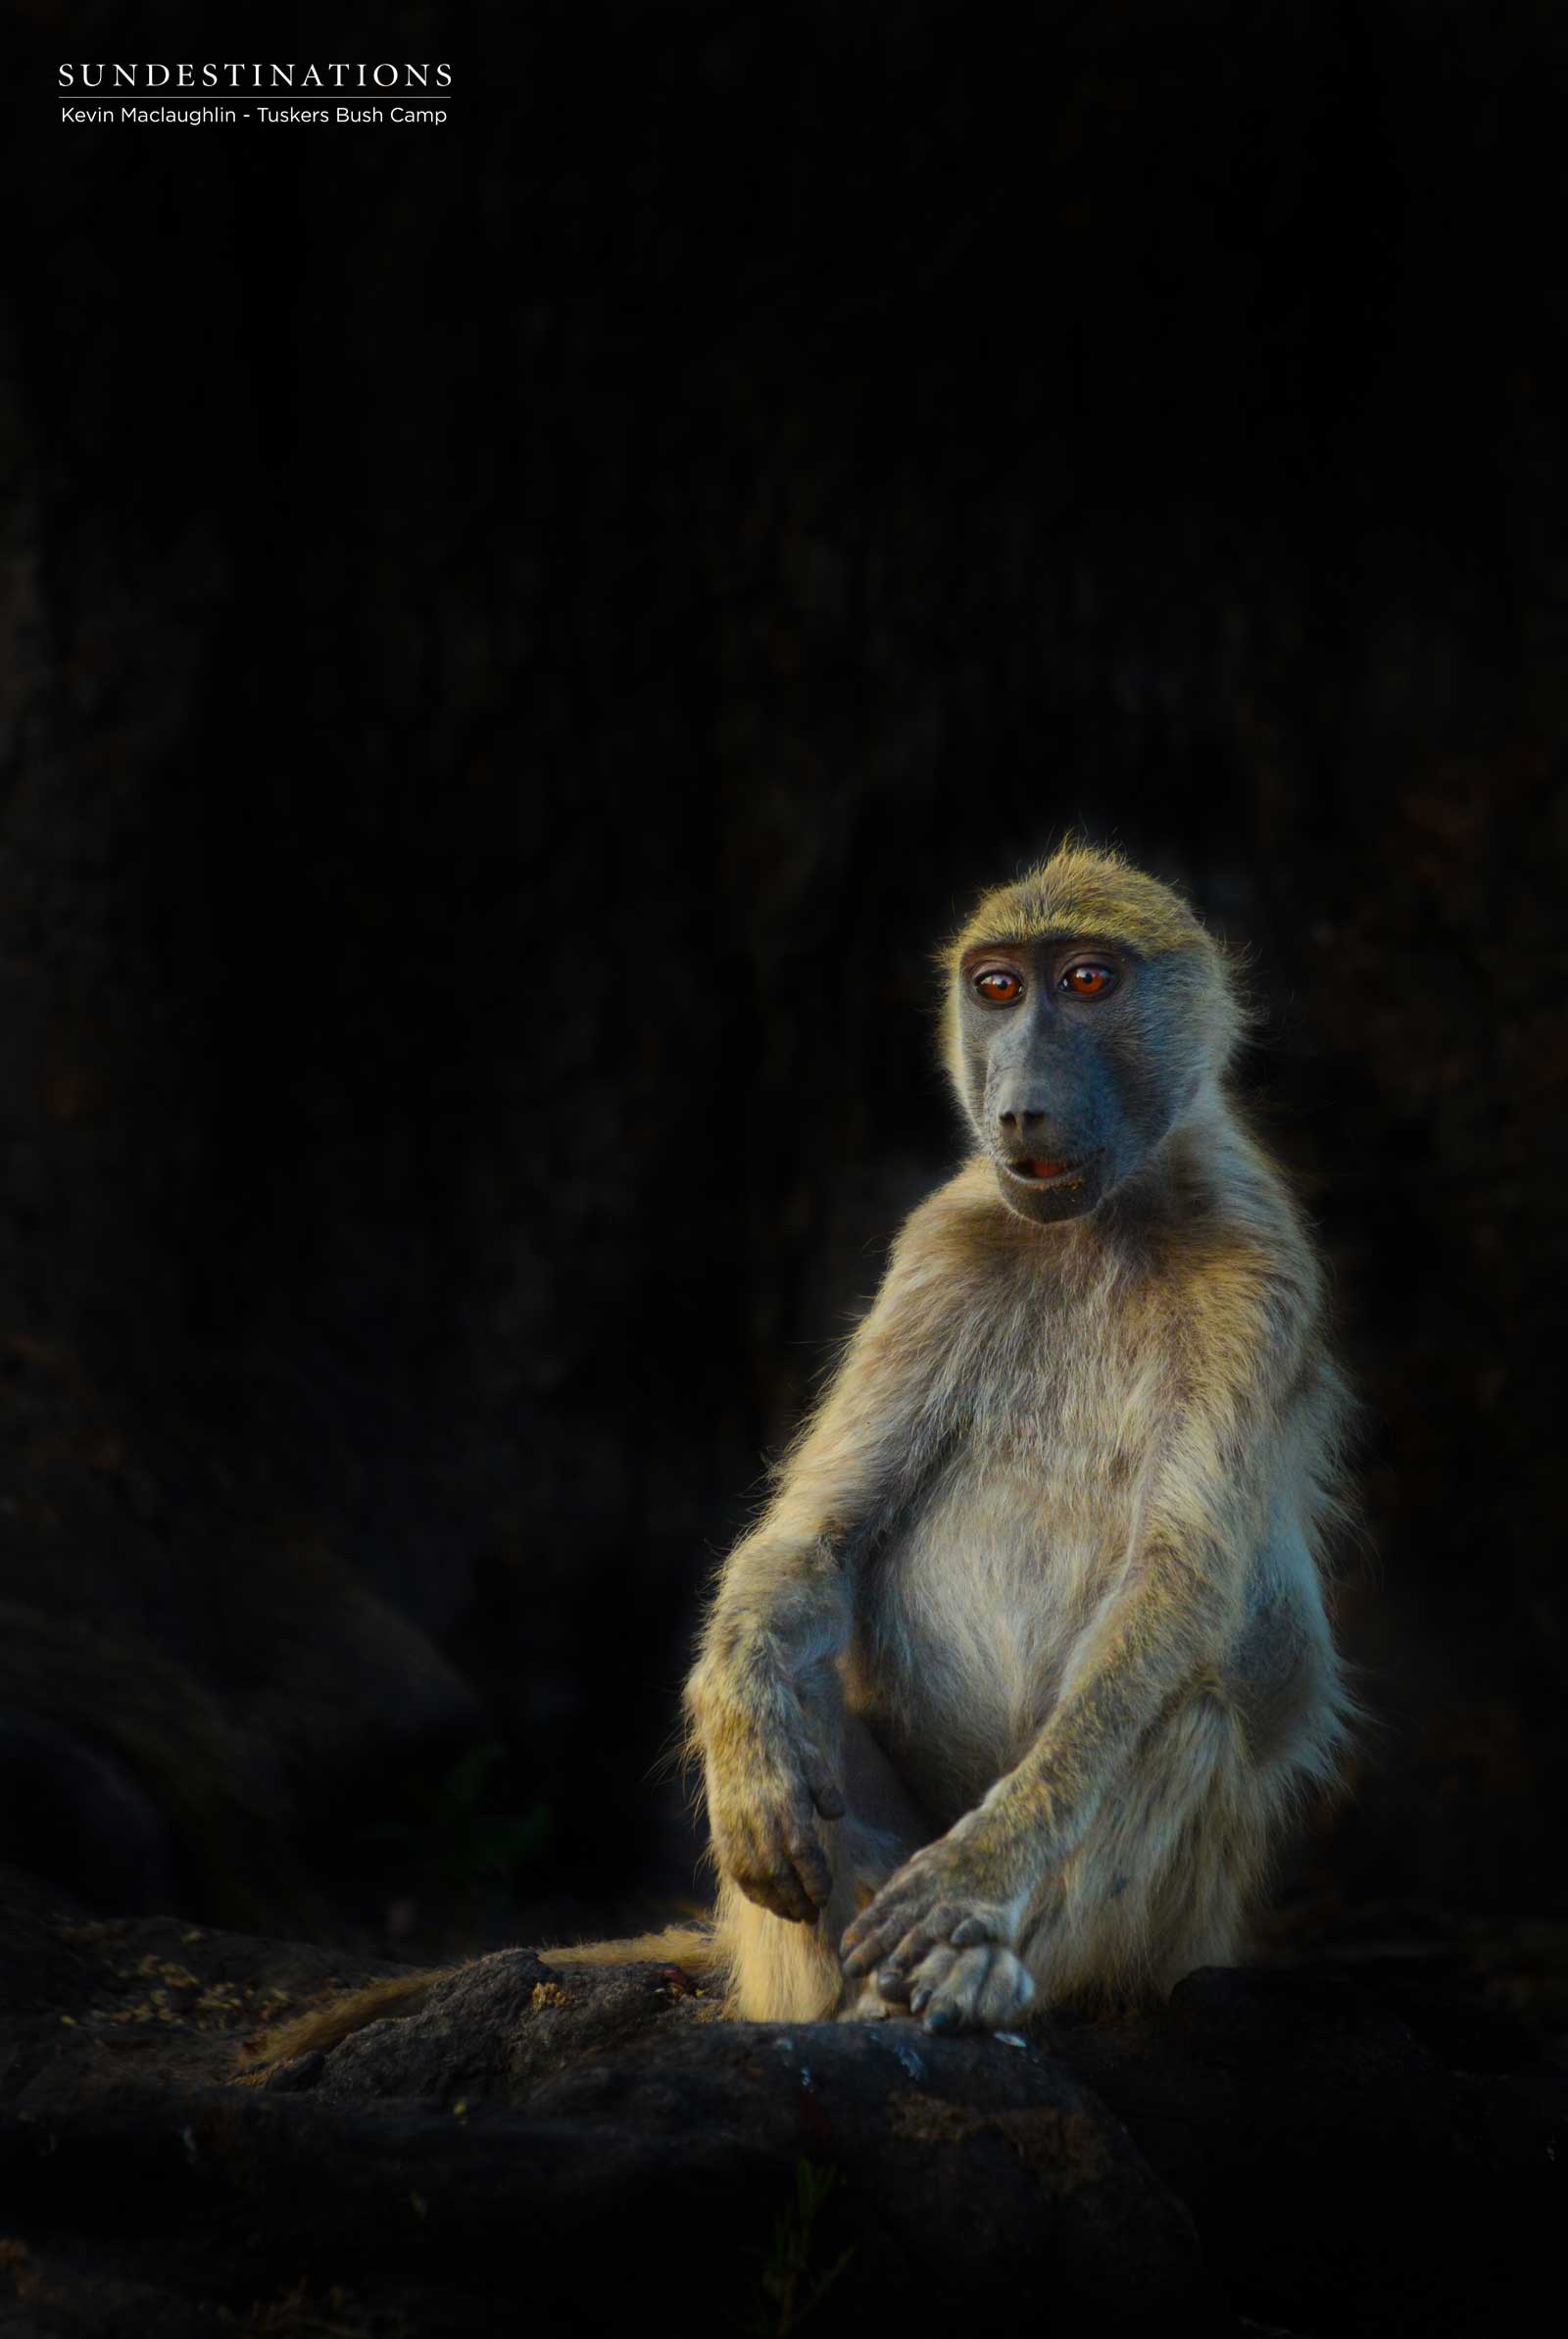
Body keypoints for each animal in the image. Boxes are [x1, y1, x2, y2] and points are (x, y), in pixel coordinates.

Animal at [240, 843, 1353, 2072]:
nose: (1018, 1109)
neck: (1103, 1222)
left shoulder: (1257, 1267)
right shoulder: (940, 1246)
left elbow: (1173, 1582)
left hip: (1165, 1936)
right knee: (800, 1678)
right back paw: (844, 2000)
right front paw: (743, 1756)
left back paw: (980, 1978)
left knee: (1180, 1706)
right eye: (999, 987)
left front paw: (977, 1875)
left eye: (1089, 981)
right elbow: (814, 1534)